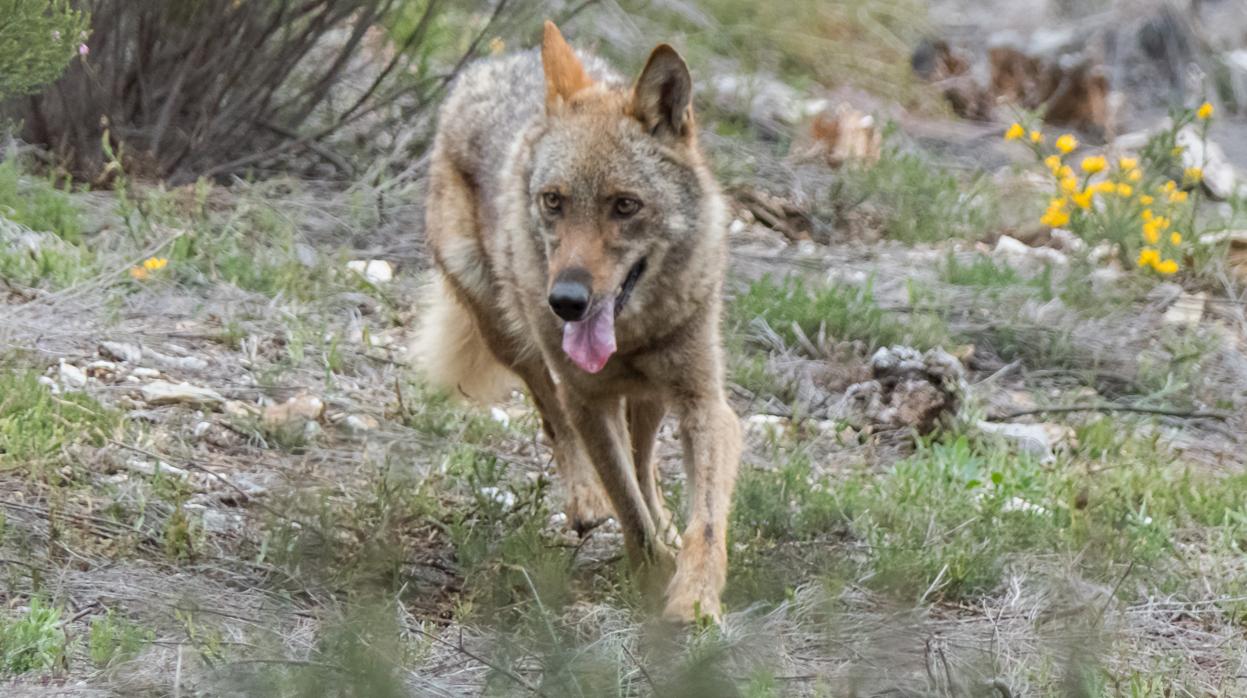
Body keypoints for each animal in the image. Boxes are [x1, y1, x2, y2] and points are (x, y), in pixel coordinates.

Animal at [414, 20, 738, 620]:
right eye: (554, 201)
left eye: (625, 205)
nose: (564, 300)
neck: (631, 335)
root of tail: (498, 63)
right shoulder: (586, 398)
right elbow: (628, 510)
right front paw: (651, 576)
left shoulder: (705, 403)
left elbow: (703, 521)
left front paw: (694, 601)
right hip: (511, 337)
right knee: (555, 419)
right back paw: (587, 502)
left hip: (651, 398)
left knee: (644, 462)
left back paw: (664, 524)